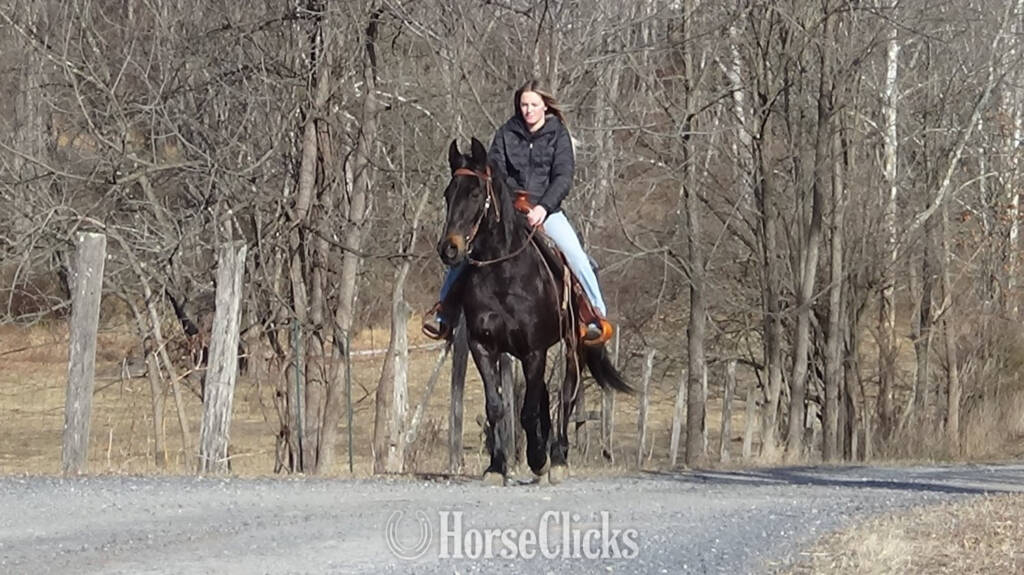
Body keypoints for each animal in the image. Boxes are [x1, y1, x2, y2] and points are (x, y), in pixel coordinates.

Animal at [437, 137, 632, 485]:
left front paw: (539, 459)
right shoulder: (483, 346)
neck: (504, 274)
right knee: (543, 398)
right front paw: (496, 466)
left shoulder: (534, 350)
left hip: (572, 347)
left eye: (475, 193)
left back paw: (558, 458)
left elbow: (528, 410)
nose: (449, 249)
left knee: (565, 397)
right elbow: (497, 407)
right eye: (449, 193)